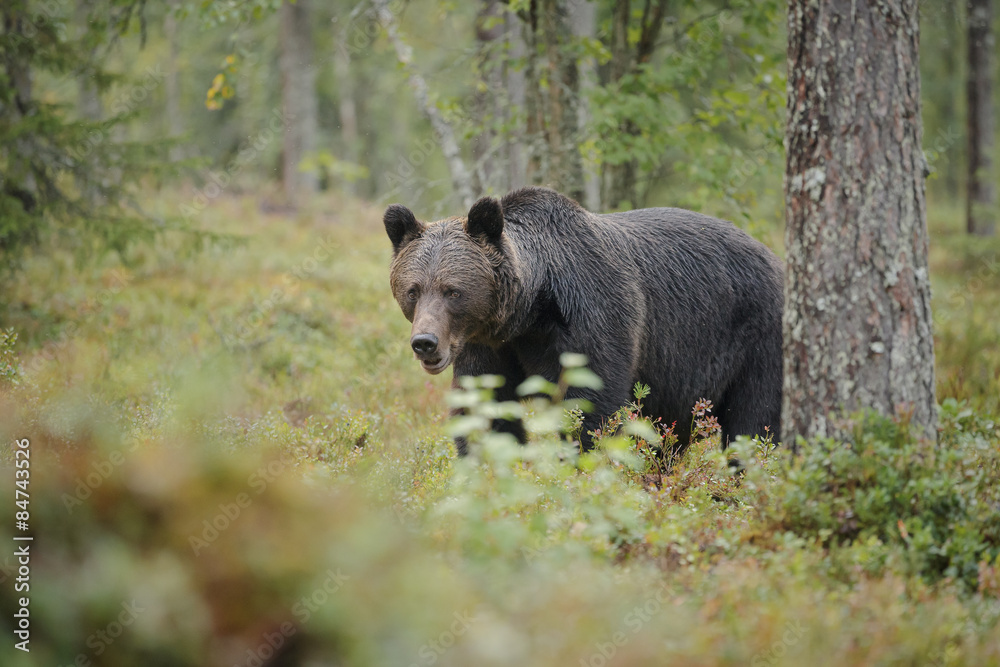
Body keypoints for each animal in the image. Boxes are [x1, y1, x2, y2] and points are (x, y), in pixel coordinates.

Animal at [382, 188, 780, 456]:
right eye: (413, 290)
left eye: (453, 291)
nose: (426, 342)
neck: (530, 313)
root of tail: (772, 255)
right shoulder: (488, 347)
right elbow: (486, 409)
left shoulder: (590, 316)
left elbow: (591, 409)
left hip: (754, 338)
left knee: (755, 423)